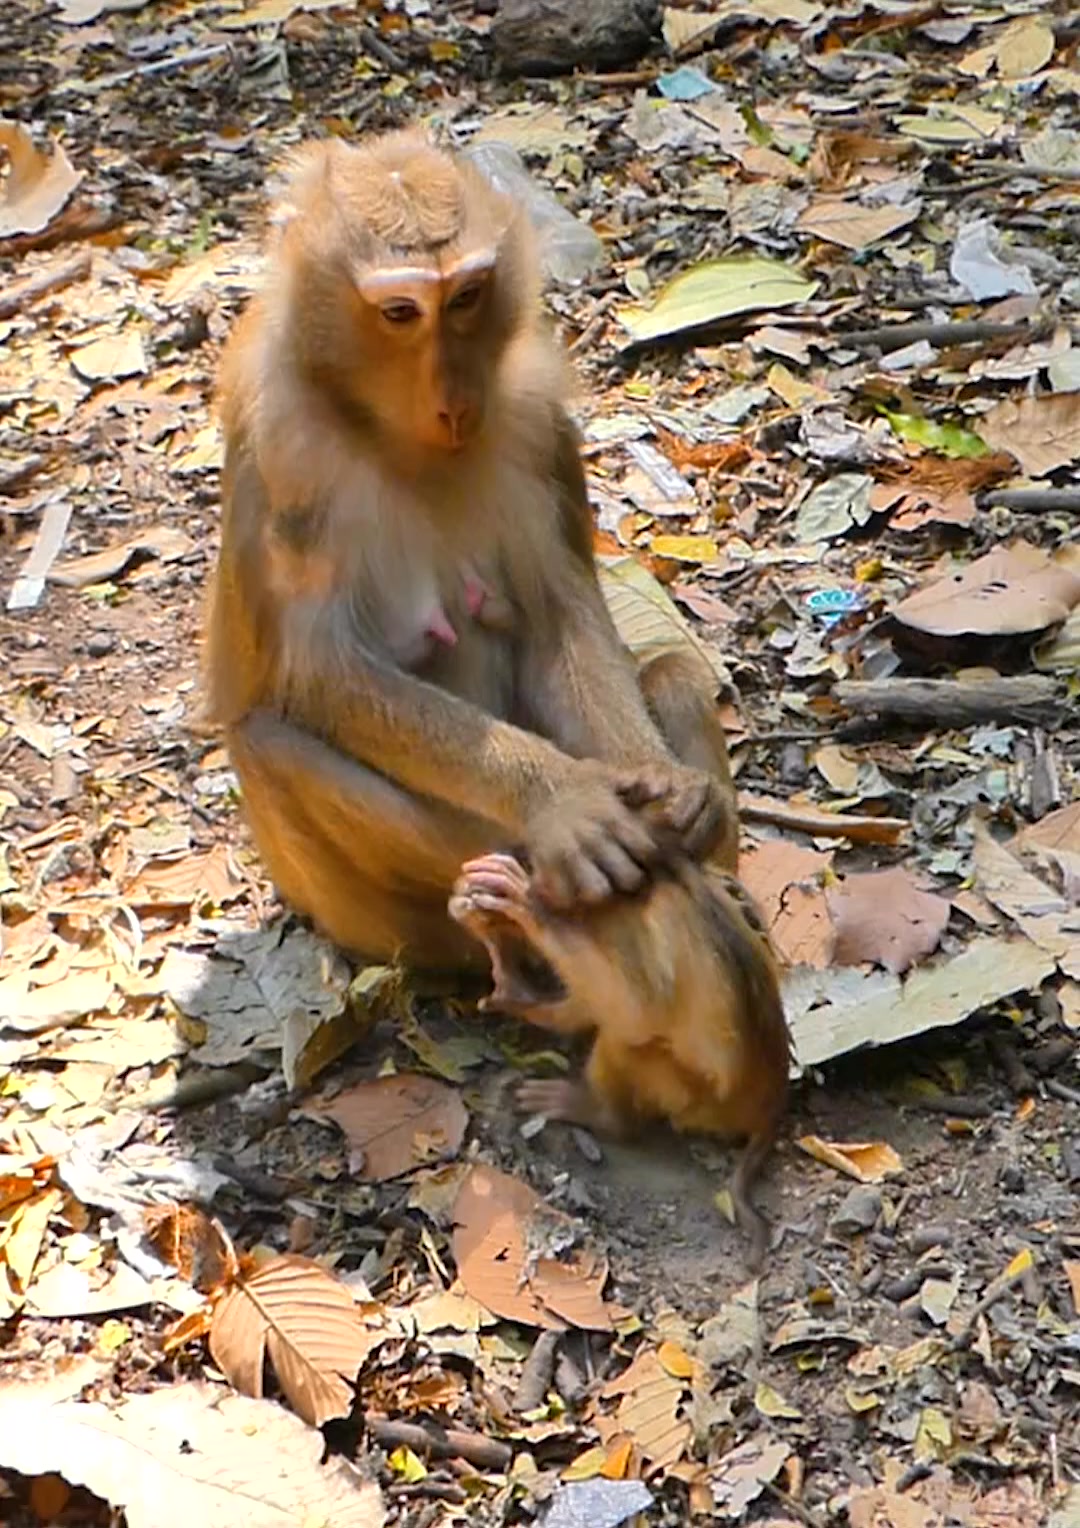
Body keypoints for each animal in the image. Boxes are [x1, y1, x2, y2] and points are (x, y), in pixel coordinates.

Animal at [205, 128, 744, 970]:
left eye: (464, 298)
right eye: (399, 311)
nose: (454, 398)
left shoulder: (533, 416)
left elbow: (559, 613)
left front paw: (663, 784)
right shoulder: (285, 447)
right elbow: (322, 668)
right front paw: (561, 801)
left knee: (675, 673)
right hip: (367, 921)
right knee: (271, 742)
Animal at [448, 844, 791, 1267]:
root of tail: (768, 1100)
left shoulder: (640, 922)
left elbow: (635, 1012)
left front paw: (527, 906)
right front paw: (513, 985)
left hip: (697, 1100)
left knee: (629, 1042)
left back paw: (603, 1114)